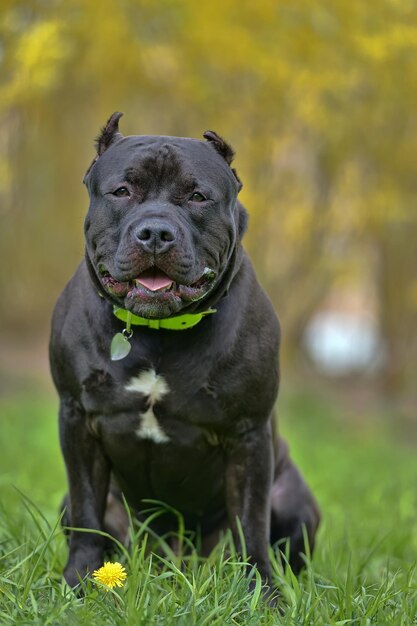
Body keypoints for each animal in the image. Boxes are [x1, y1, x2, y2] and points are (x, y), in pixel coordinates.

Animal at [50, 111, 320, 588]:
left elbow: (252, 524)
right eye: (123, 191)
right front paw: (78, 581)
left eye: (197, 196)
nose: (155, 232)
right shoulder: (77, 420)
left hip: (293, 497)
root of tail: (175, 558)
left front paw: (262, 593)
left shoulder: (249, 435)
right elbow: (86, 514)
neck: (158, 331)